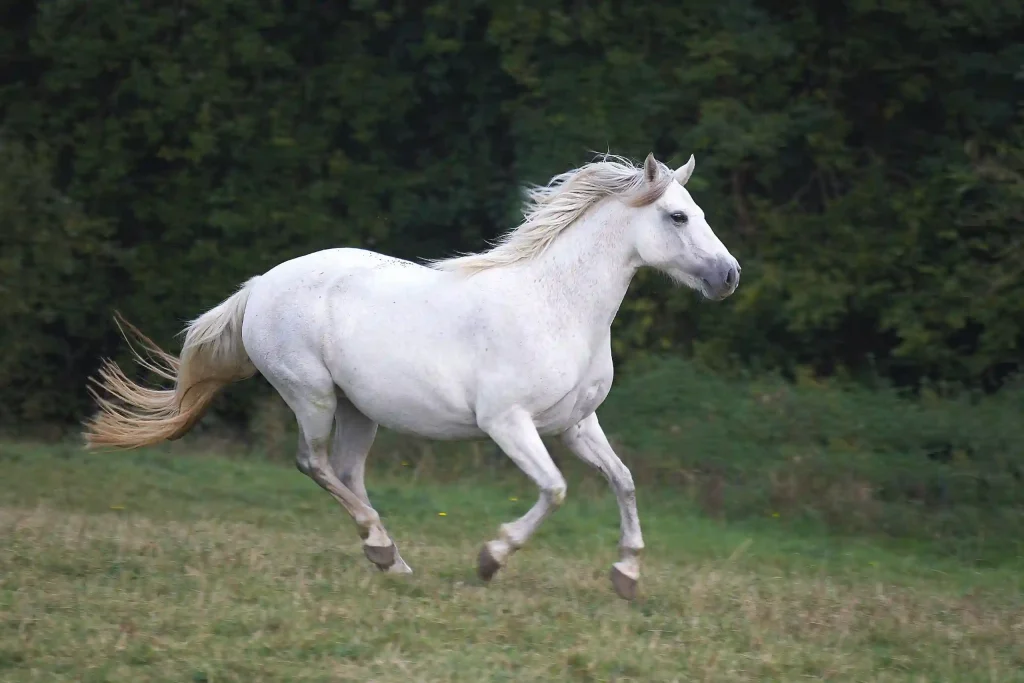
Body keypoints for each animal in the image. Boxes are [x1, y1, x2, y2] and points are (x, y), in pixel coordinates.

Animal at [86, 152, 737, 602]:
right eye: (678, 216)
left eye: (701, 213)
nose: (728, 276)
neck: (557, 305)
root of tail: (259, 287)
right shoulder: (508, 423)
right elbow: (554, 489)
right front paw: (491, 558)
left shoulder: (576, 424)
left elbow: (623, 481)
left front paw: (626, 574)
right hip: (312, 396)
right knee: (313, 463)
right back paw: (380, 546)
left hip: (357, 409)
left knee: (346, 470)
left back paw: (392, 560)